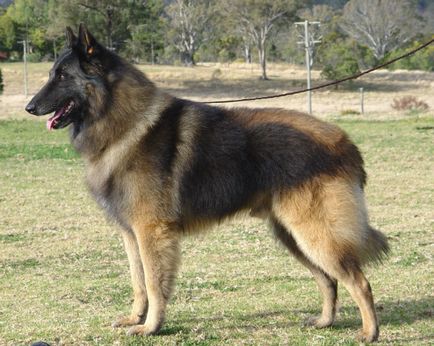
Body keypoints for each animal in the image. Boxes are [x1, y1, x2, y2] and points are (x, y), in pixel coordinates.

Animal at [25, 24, 388, 344]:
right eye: (52, 73)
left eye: (62, 76)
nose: (29, 107)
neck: (122, 120)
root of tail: (345, 143)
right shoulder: (130, 234)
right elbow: (138, 282)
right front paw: (135, 318)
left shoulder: (151, 232)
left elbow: (154, 283)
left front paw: (151, 327)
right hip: (293, 236)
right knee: (328, 280)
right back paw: (325, 321)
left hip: (315, 234)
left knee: (359, 282)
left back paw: (370, 333)